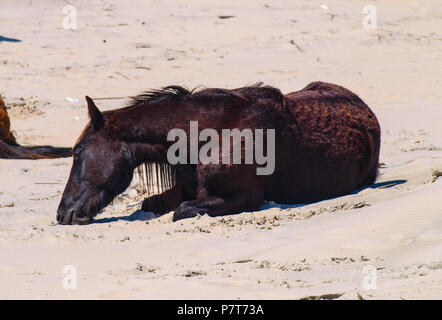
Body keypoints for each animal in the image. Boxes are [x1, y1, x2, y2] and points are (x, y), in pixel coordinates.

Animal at [55, 82, 380, 225]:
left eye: (77, 152)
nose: (63, 214)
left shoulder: (244, 198)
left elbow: (182, 210)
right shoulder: (182, 189)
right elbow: (152, 203)